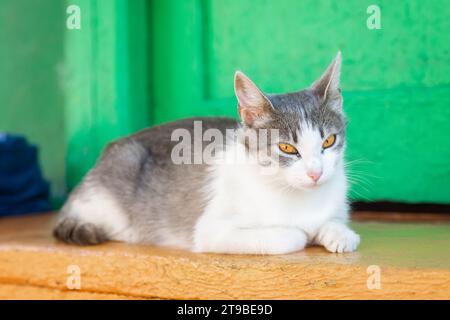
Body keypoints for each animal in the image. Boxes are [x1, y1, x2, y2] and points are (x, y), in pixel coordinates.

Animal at [54, 52, 360, 252]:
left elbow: (338, 226)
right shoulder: (212, 230)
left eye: (329, 141)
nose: (316, 173)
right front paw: (304, 233)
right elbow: (290, 236)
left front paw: (338, 234)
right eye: (287, 147)